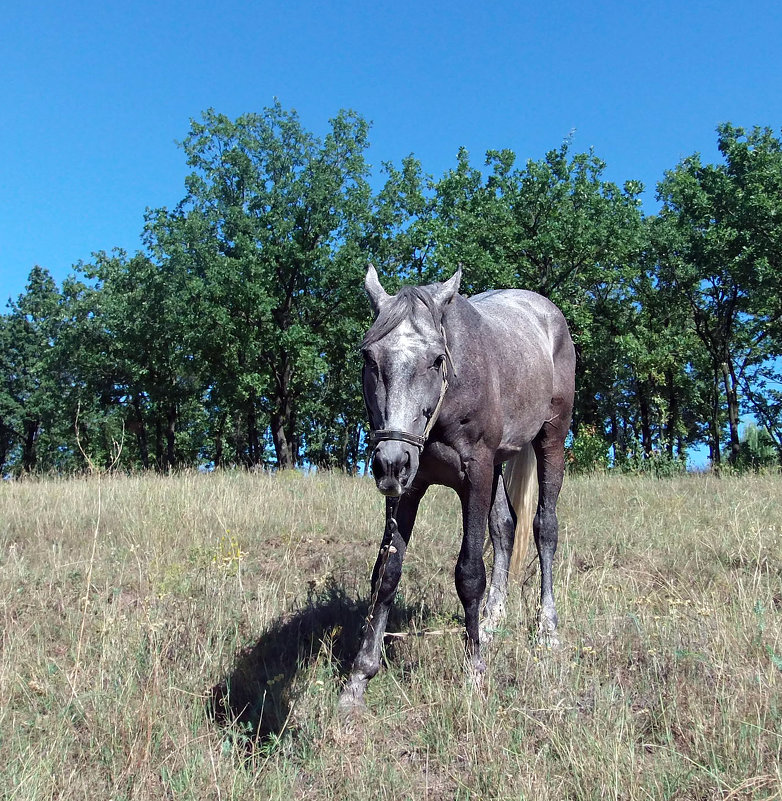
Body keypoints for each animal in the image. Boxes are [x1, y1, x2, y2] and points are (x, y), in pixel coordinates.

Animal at [340, 266, 580, 708]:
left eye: (437, 359)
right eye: (369, 357)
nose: (390, 464)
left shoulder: (476, 475)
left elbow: (469, 574)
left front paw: (475, 673)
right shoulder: (409, 490)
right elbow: (386, 573)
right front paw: (358, 679)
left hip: (550, 441)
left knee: (544, 529)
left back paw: (547, 629)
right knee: (504, 528)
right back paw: (492, 620)